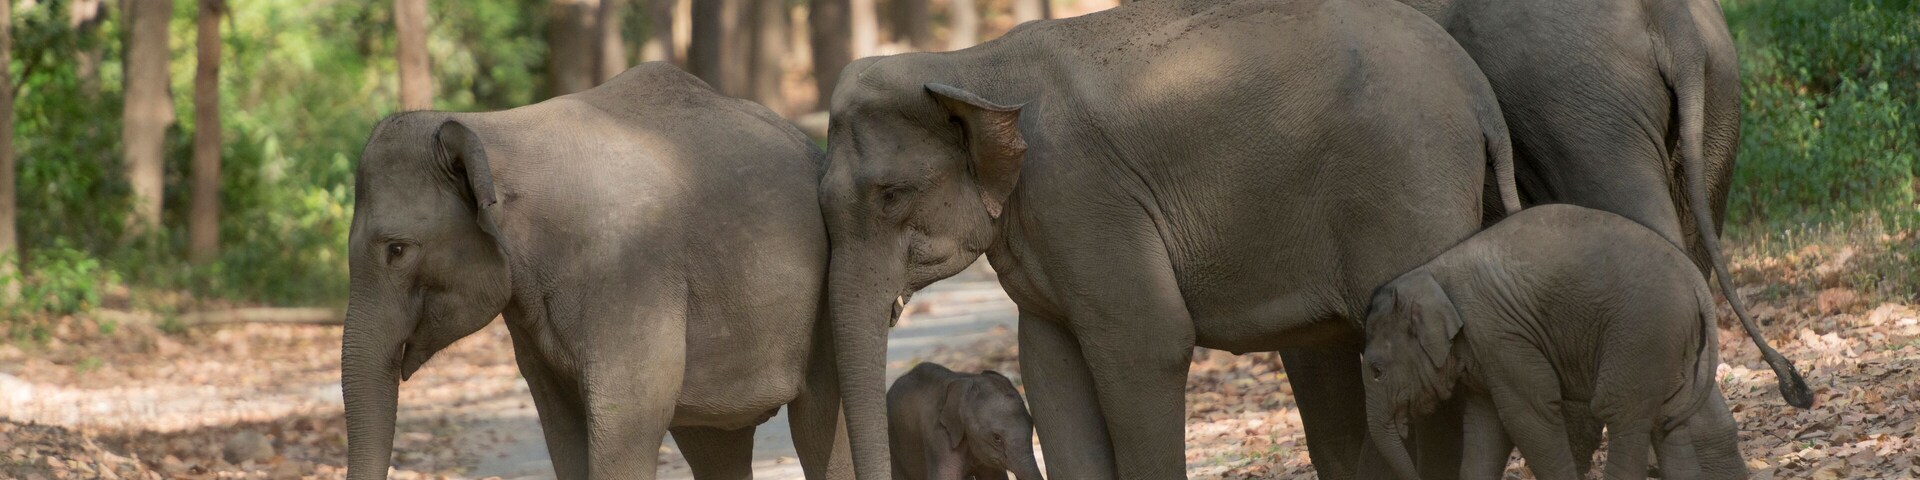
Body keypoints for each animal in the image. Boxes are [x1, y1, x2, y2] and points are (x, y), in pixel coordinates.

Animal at [342, 63, 851, 480]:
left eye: (397, 250)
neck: (495, 127)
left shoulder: (631, 272)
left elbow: (630, 412)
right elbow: (560, 422)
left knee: (819, 426)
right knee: (715, 444)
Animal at [1361, 204, 1748, 480]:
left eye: (1377, 370)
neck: (1430, 272)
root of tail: (1697, 282)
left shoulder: (1500, 336)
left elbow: (1528, 415)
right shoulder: (1487, 355)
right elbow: (1485, 426)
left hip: (1642, 334)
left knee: (1621, 413)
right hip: (1673, 343)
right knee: (1669, 422)